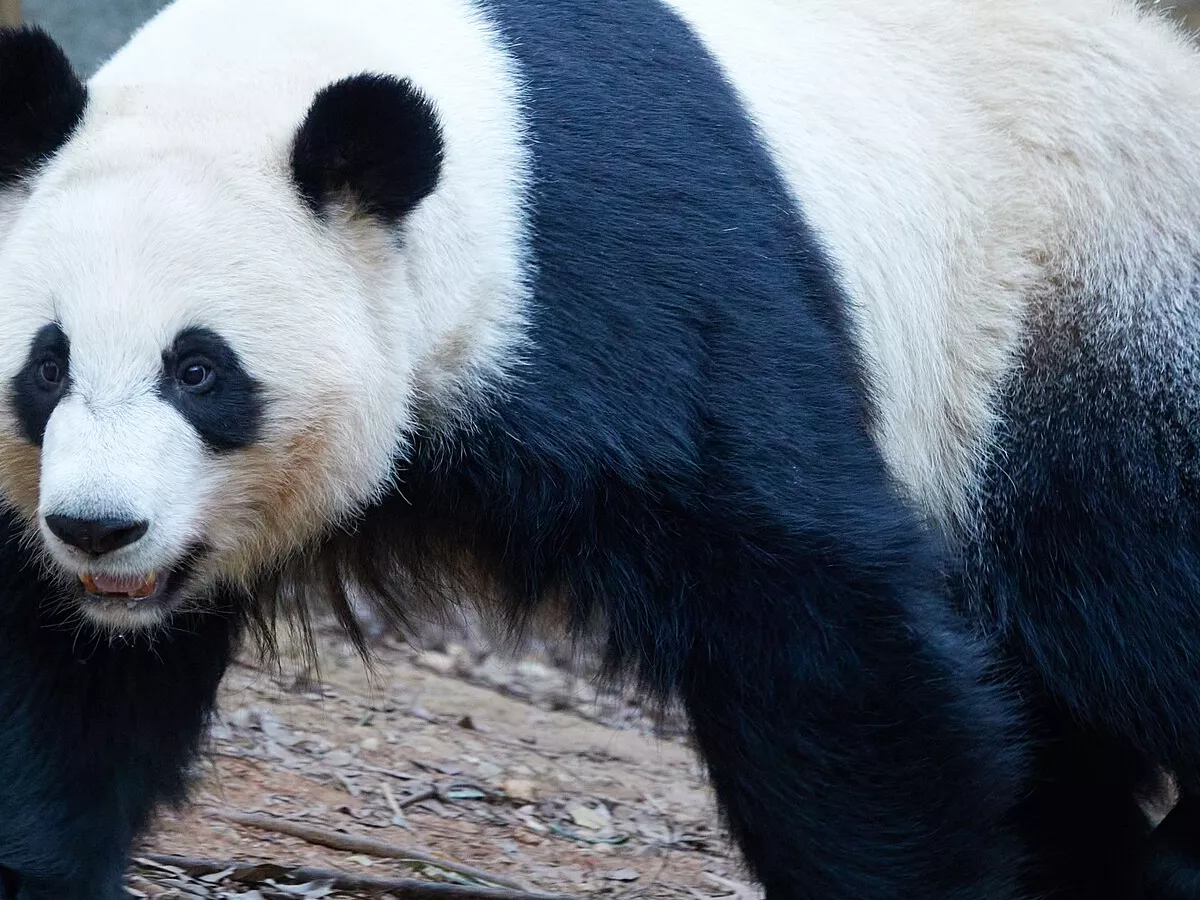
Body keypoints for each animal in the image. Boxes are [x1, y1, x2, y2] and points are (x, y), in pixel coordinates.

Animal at [0, 0, 1199, 897]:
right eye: (46, 367)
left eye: (200, 371)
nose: (99, 529)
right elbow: (69, 685)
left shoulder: (627, 278)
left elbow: (818, 623)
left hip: (1078, 328)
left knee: (1129, 586)